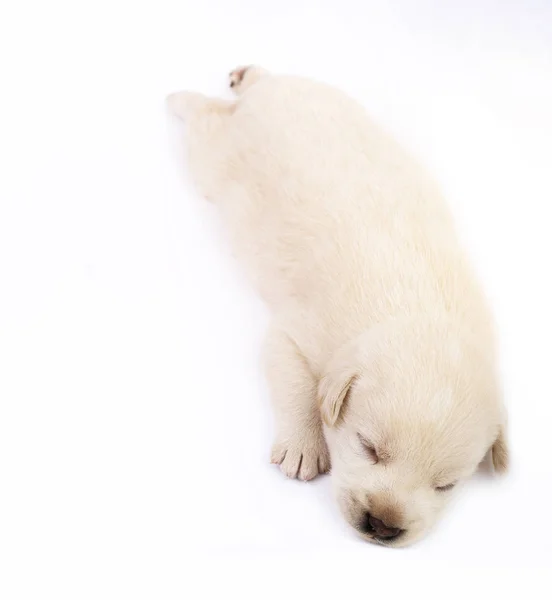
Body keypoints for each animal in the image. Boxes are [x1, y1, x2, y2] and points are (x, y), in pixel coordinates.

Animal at [167, 68, 508, 548]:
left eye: (445, 484)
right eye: (368, 447)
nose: (383, 524)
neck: (415, 313)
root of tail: (267, 94)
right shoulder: (294, 333)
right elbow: (296, 384)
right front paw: (302, 447)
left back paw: (246, 75)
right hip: (214, 156)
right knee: (202, 115)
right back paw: (183, 95)